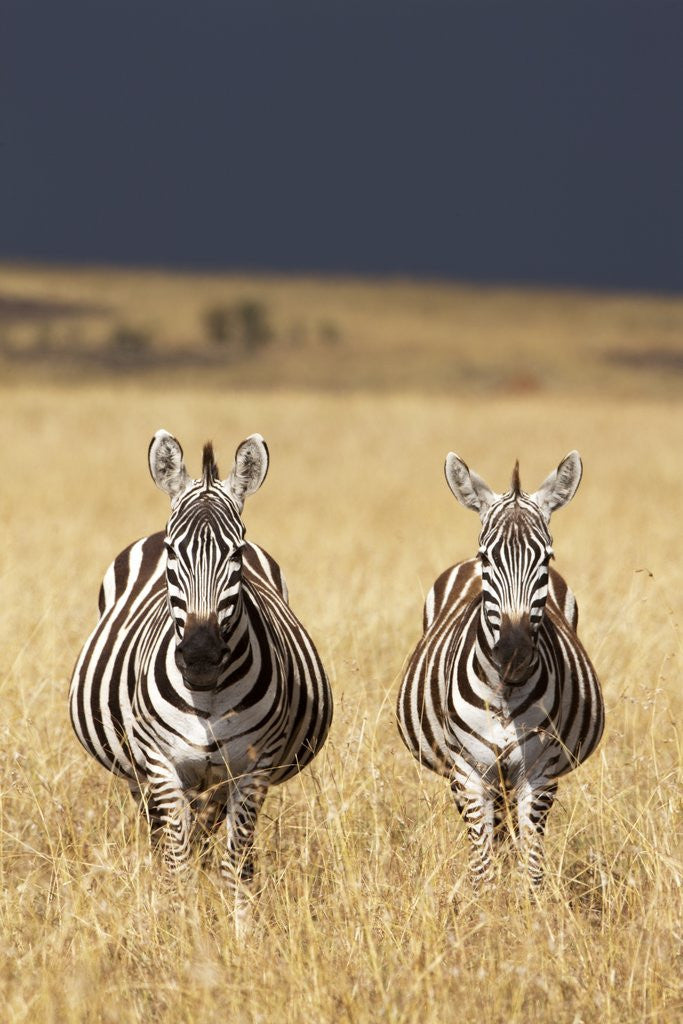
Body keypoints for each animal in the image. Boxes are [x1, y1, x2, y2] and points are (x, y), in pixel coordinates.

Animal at [70, 430, 333, 919]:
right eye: (173, 552)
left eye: (236, 553)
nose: (201, 657)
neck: (208, 700)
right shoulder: (161, 765)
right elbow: (176, 864)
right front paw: (179, 926)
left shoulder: (254, 767)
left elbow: (238, 864)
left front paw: (239, 928)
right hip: (142, 776)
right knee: (165, 840)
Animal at [397, 451, 604, 886]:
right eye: (486, 558)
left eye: (546, 558)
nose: (514, 653)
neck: (505, 692)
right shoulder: (469, 773)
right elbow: (481, 868)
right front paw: (486, 904)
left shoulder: (539, 774)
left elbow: (532, 867)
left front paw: (527, 902)